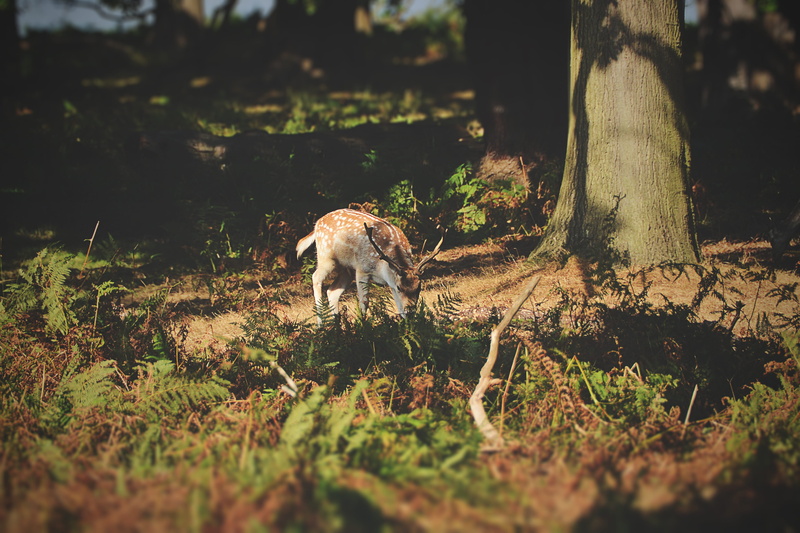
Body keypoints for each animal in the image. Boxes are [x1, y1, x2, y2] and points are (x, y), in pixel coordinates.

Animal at [296, 209, 444, 324]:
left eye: (419, 287)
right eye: (400, 287)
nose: (411, 311)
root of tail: (316, 225)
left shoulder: (390, 281)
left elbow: (399, 305)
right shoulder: (362, 269)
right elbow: (364, 302)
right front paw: (363, 326)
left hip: (346, 269)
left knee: (332, 291)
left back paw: (337, 326)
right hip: (326, 257)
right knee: (316, 277)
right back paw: (321, 324)